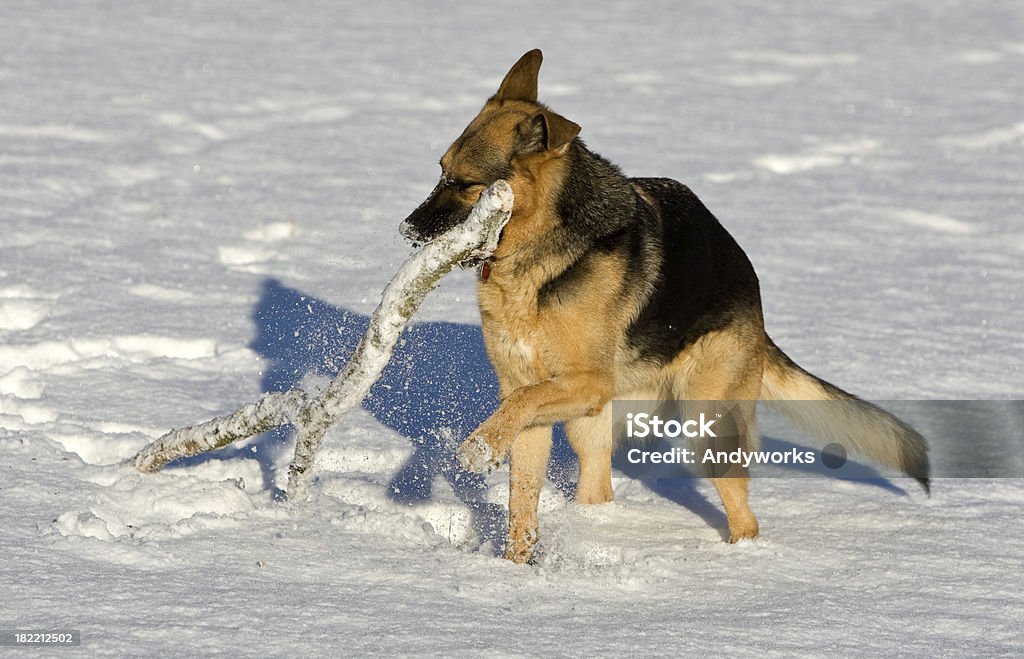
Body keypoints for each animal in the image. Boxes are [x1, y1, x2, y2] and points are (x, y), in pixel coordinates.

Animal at [397, 50, 929, 560]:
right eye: (441, 172)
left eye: (465, 183)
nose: (405, 229)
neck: (541, 254)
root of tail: (754, 298)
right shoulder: (530, 397)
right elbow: (521, 490)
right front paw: (515, 566)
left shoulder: (584, 383)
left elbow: (522, 405)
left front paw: (475, 449)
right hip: (592, 425)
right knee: (599, 487)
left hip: (707, 424)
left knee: (744, 515)